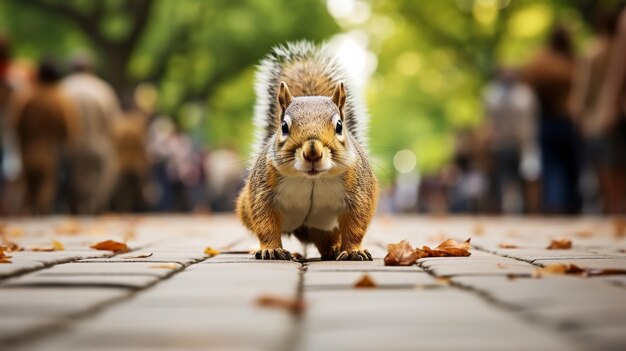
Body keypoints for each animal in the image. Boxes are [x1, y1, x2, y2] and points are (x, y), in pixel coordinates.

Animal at [235, 41, 376, 262]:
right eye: (284, 126)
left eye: (339, 126)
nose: (312, 152)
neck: (311, 178)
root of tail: (305, 230)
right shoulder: (262, 190)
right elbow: (265, 222)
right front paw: (271, 249)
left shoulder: (360, 191)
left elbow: (356, 225)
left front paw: (354, 250)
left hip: (328, 226)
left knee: (328, 237)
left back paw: (334, 248)